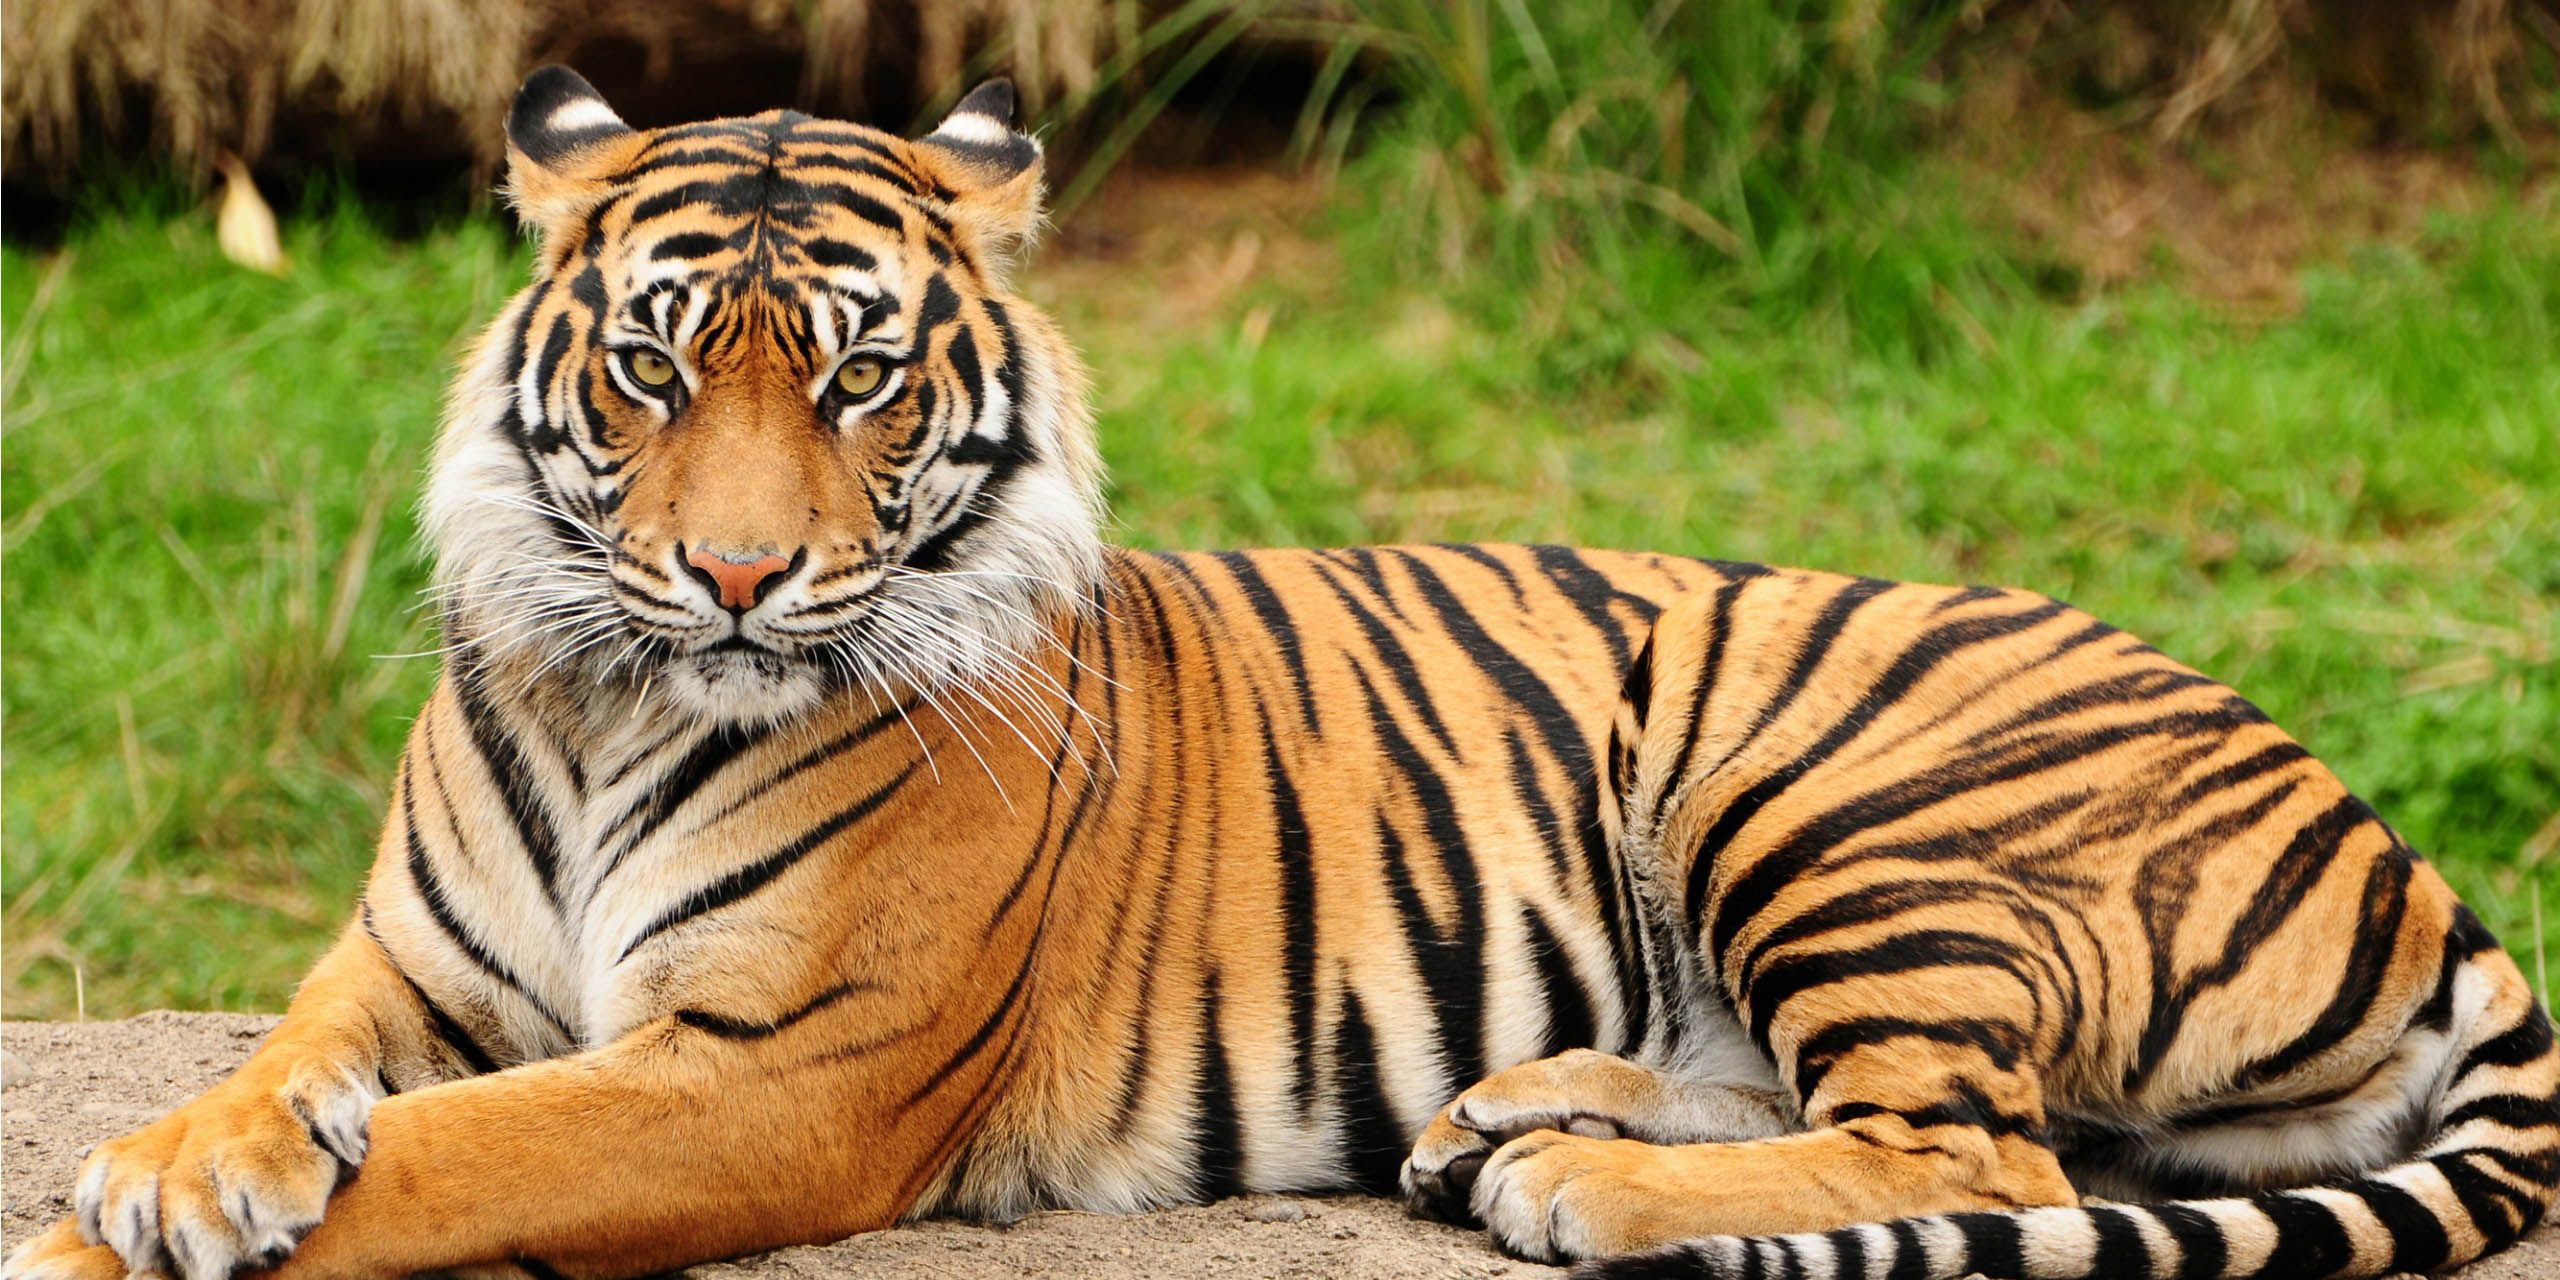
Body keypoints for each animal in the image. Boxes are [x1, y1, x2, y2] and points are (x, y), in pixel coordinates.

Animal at [7, 64, 2554, 1280]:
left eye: (852, 381)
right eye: (647, 368)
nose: (731, 578)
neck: (614, 688)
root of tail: (2385, 838)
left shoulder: (768, 1071)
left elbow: (448, 1157)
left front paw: (92, 1229)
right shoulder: (402, 967)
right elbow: (293, 1068)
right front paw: (175, 1163)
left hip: (1818, 763)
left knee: (1967, 1134)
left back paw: (1574, 1188)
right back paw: (1519, 1110)